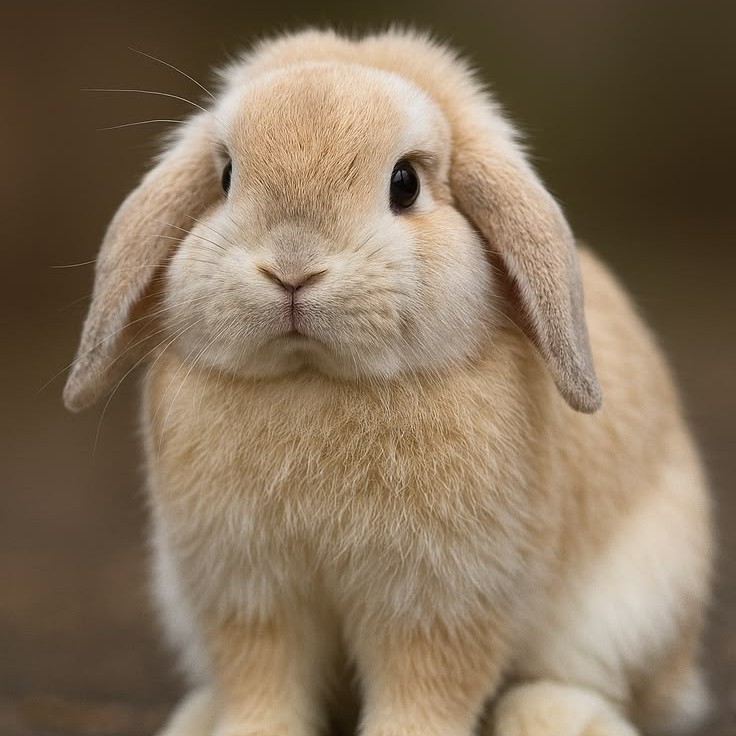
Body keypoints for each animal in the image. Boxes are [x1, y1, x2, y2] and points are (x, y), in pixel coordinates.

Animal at [64, 28, 713, 736]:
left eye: (405, 184)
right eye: (227, 177)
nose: (292, 269)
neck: (315, 379)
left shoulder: (441, 599)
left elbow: (424, 689)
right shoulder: (247, 590)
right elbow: (263, 682)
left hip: (632, 608)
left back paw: (557, 717)